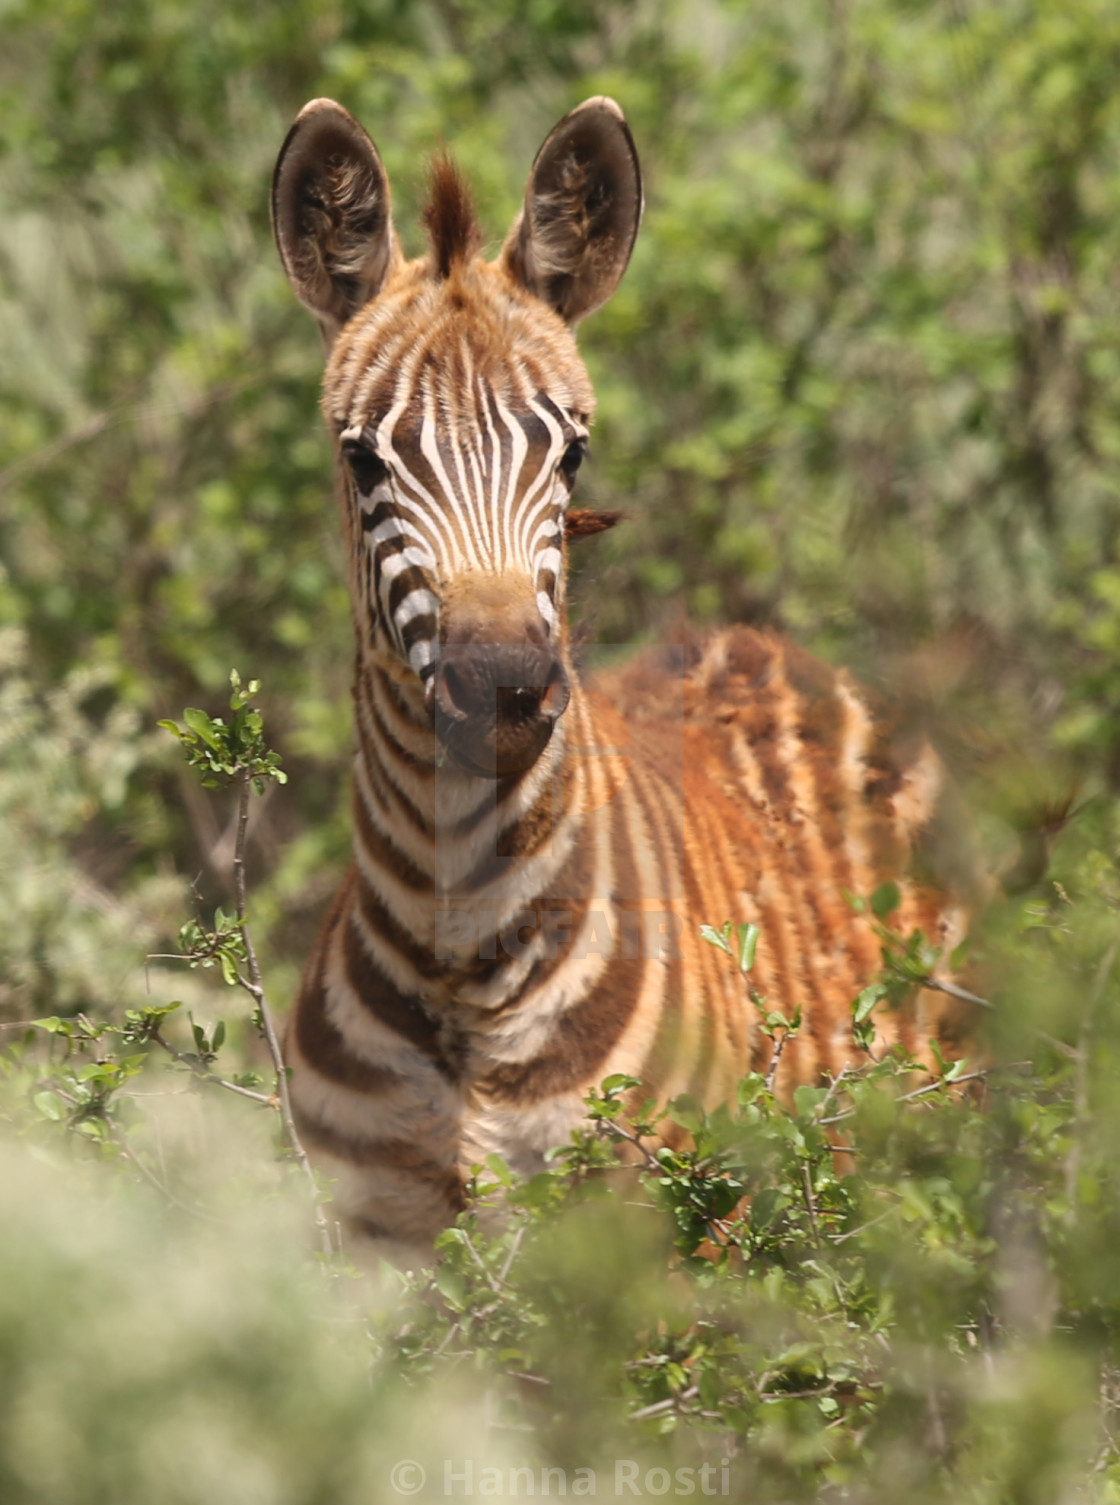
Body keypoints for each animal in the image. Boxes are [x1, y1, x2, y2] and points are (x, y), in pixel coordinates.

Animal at [269, 88, 969, 1252]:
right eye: (362, 457)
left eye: (572, 452)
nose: (505, 688)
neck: (456, 951)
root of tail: (756, 642)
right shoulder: (371, 1242)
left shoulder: (663, 1234)